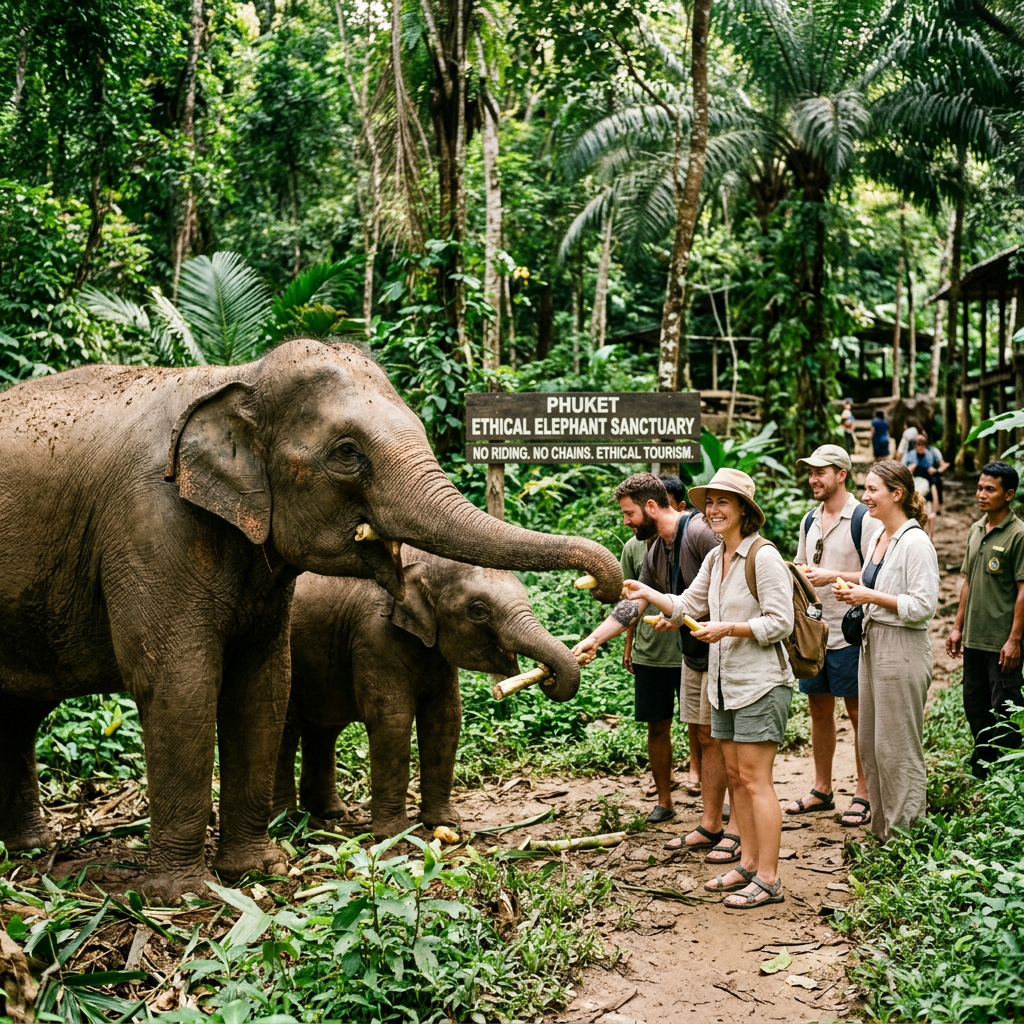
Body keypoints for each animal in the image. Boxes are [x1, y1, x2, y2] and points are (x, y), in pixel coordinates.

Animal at [273, 550, 569, 836]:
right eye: (478, 610)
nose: (548, 674)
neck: (424, 560)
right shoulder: (374, 636)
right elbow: (393, 721)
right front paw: (394, 835)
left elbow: (445, 718)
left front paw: (445, 823)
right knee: (287, 730)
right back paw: (290, 823)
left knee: (324, 729)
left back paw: (330, 814)